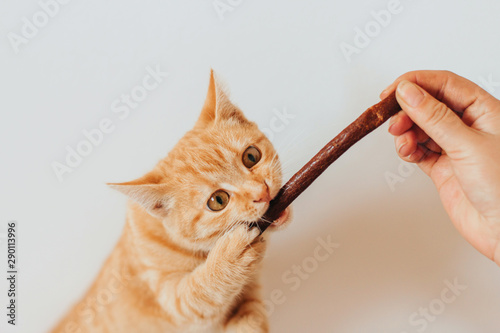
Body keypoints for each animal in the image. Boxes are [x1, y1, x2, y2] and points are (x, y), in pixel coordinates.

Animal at [51, 70, 290, 332]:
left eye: (251, 156)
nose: (262, 192)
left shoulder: (248, 305)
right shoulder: (174, 303)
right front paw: (230, 255)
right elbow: (199, 292)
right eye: (218, 200)